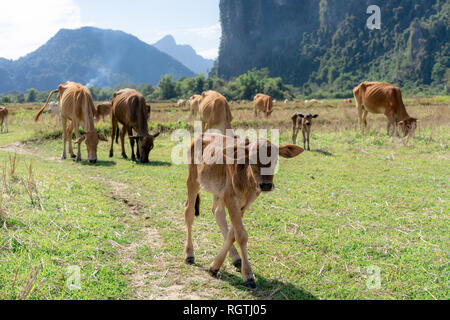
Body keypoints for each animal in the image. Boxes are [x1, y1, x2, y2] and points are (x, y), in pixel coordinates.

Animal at [184, 132, 306, 288]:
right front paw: (248, 276)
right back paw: (189, 254)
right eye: (252, 160)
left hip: (218, 191)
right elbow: (241, 235)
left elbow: (233, 234)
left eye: (276, 159)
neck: (247, 181)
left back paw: (235, 258)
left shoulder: (243, 204)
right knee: (189, 212)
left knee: (217, 213)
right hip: (193, 180)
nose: (266, 185)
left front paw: (215, 266)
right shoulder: (231, 198)